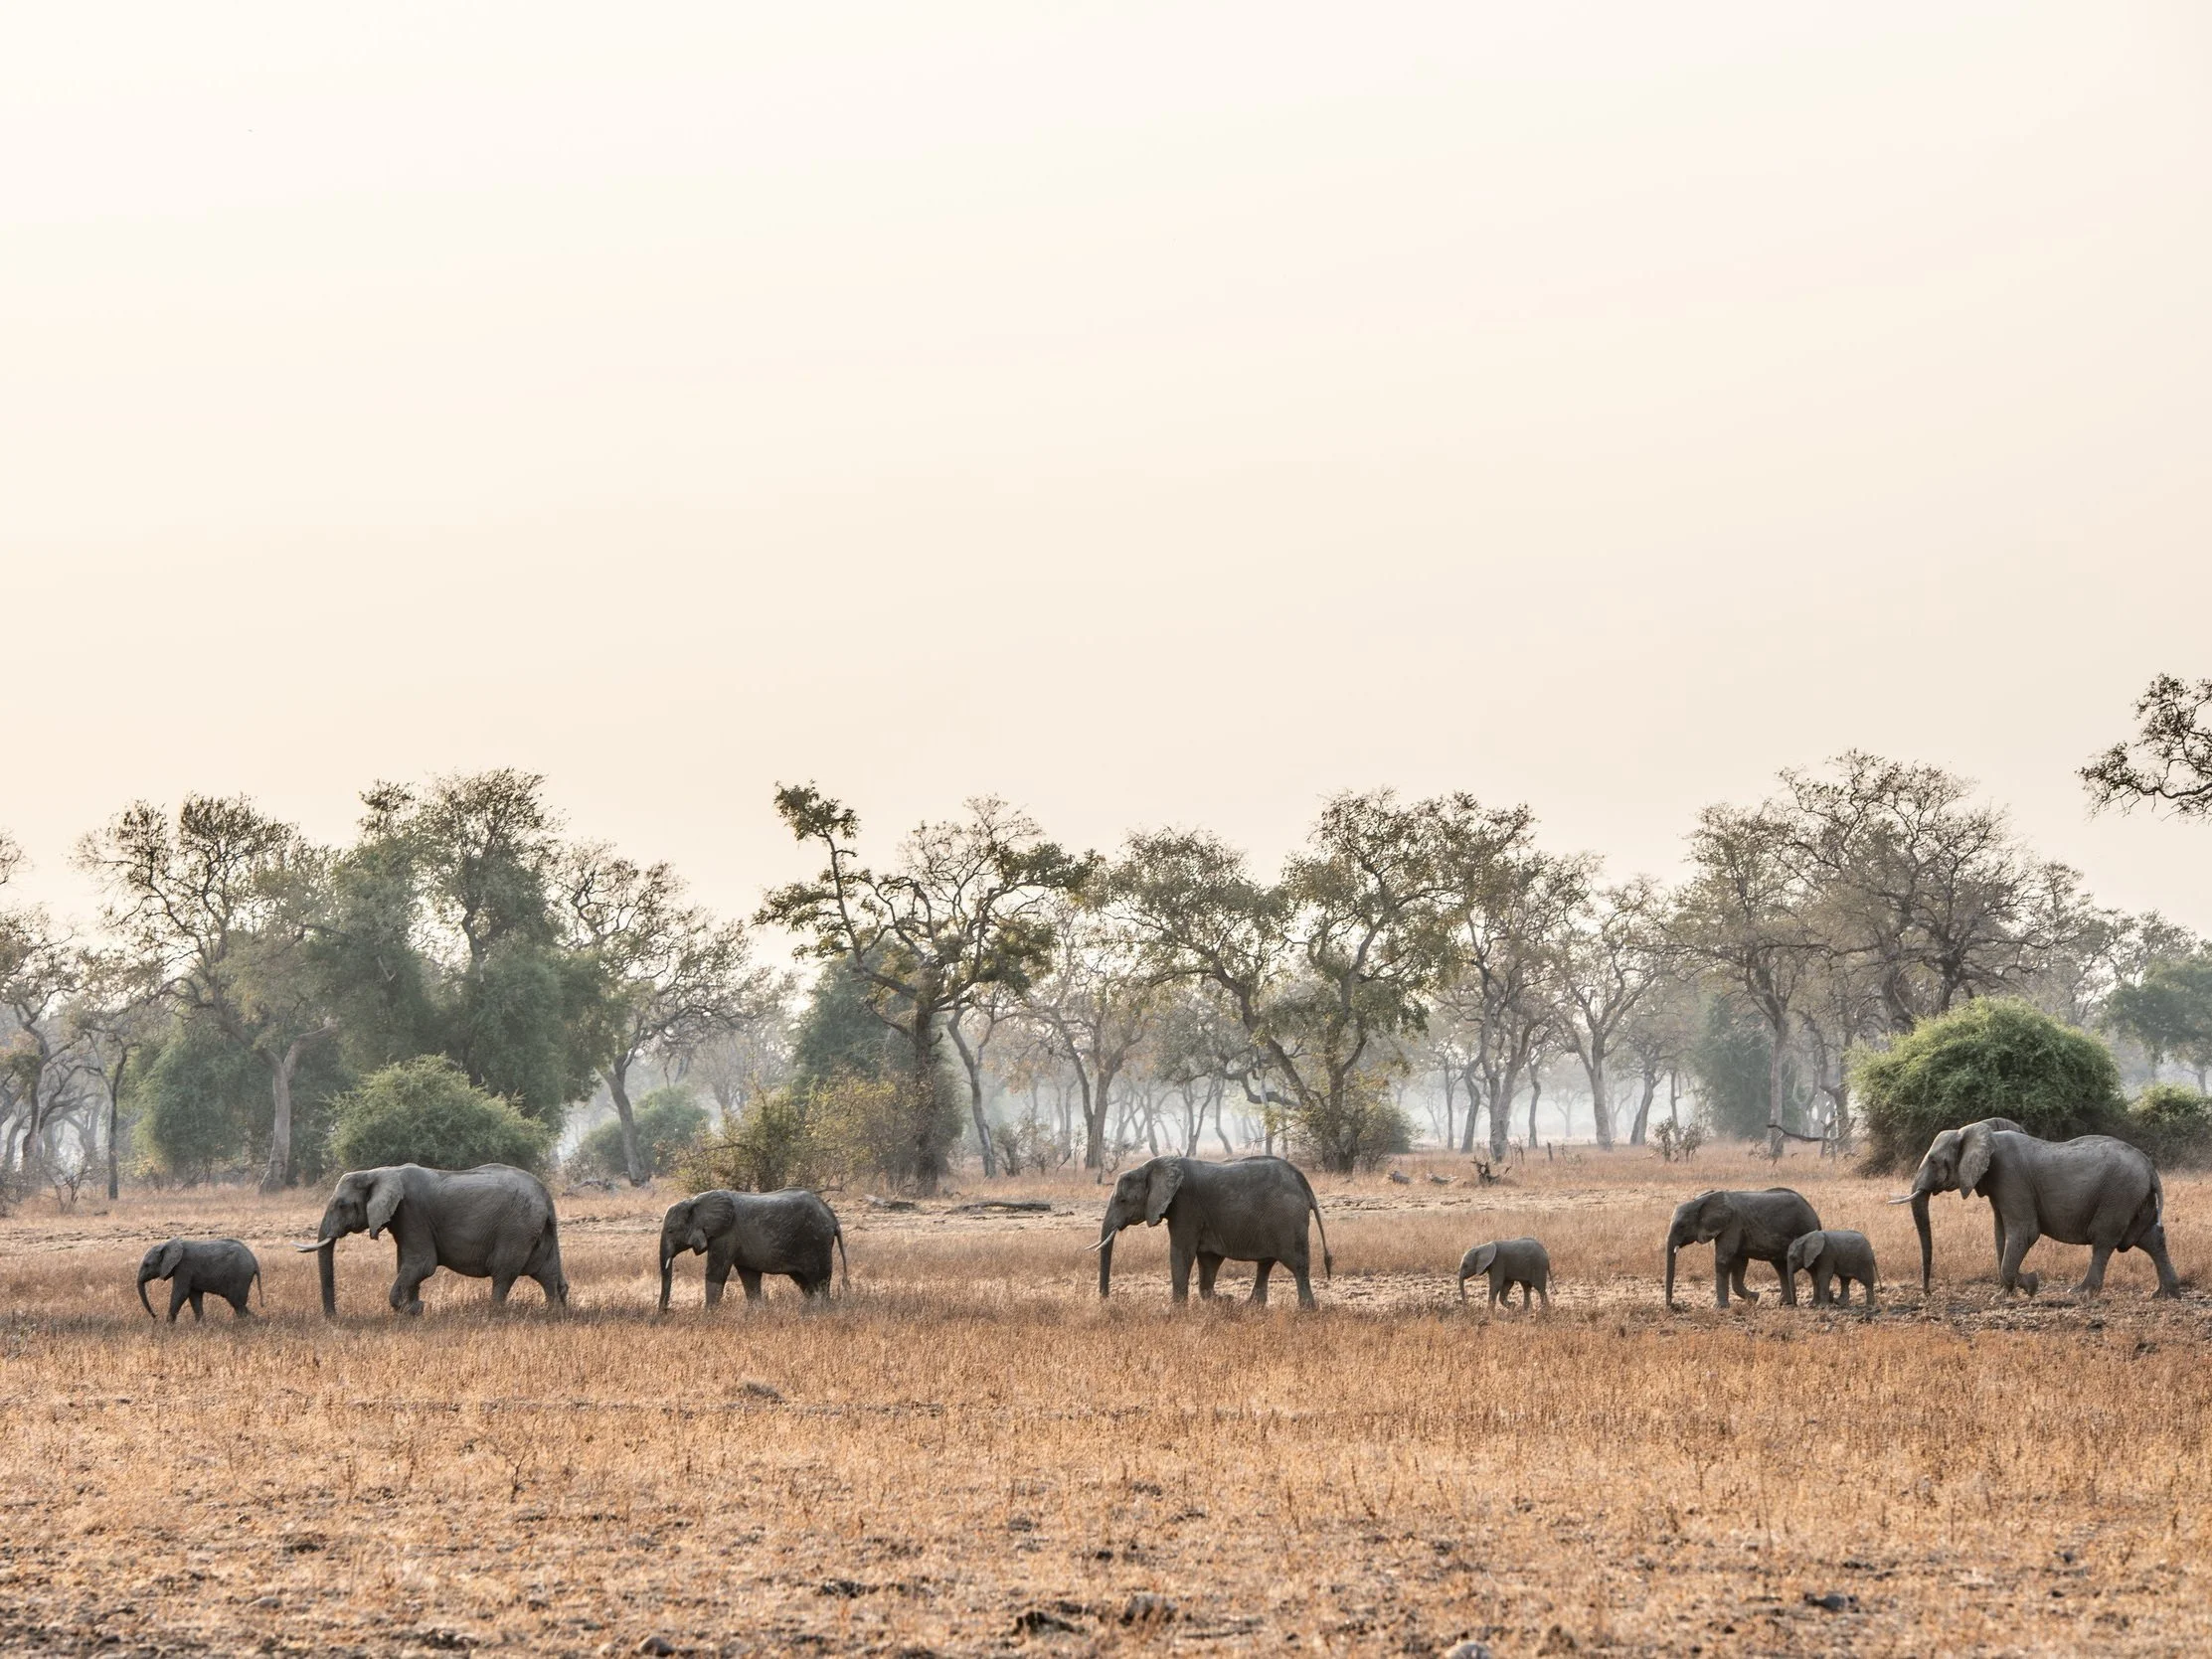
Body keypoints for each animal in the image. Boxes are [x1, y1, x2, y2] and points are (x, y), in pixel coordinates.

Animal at [296, 1163, 568, 1316]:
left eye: (342, 1205)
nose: (333, 1317)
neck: (380, 1172)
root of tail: (546, 1197)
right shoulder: (403, 1219)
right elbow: (407, 1265)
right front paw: (414, 1310)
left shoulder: (412, 1213)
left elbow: (422, 1264)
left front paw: (415, 1308)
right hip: (538, 1231)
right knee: (548, 1274)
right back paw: (554, 1313)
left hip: (516, 1229)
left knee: (503, 1274)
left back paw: (495, 1313)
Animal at [659, 1189, 849, 1309]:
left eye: (670, 1230)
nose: (666, 1312)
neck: (694, 1201)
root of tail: (833, 1218)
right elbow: (749, 1276)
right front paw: (755, 1313)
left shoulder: (726, 1234)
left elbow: (716, 1272)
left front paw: (709, 1314)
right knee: (806, 1283)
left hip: (816, 1242)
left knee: (819, 1281)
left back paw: (822, 1310)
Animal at [1094, 1155, 1333, 1308]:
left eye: (1123, 1200)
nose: (1106, 1299)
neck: (1152, 1166)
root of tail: (1304, 1184)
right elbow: (1208, 1259)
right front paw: (1223, 1300)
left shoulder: (1185, 1206)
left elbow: (1181, 1252)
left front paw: (1177, 1310)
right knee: (1266, 1264)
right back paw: (1251, 1306)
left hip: (1288, 1220)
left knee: (1297, 1265)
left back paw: (1306, 1310)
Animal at [1664, 1188, 1821, 1309]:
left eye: (1681, 1226)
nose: (1675, 1306)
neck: (1701, 1200)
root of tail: (1814, 1214)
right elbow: (1739, 1263)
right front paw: (1755, 1298)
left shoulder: (1733, 1224)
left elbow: (1723, 1258)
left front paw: (1720, 1307)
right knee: (1780, 1266)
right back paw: (1784, 1303)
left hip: (1805, 1228)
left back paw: (1813, 1304)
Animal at [1897, 1119, 2179, 1298]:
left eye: (1934, 1161)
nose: (1928, 1293)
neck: (1976, 1131)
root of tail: (2150, 1168)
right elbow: (2001, 1234)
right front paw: (2003, 1295)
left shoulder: (2010, 1177)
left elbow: (2024, 1232)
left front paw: (2031, 1285)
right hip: (2135, 1196)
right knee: (2150, 1238)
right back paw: (2164, 1294)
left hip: (2118, 1194)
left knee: (2103, 1240)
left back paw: (2081, 1293)